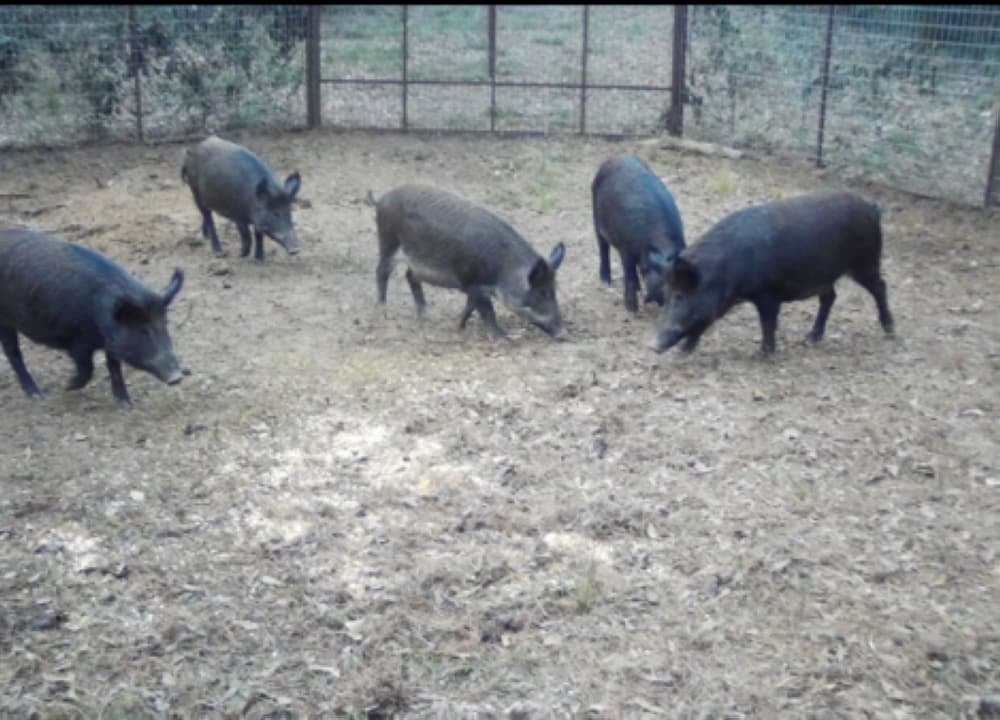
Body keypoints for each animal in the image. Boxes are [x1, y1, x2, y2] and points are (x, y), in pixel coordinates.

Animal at [0, 228, 185, 407]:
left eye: (165, 324)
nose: (177, 377)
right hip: (5, 321)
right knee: (13, 353)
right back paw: (37, 395)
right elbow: (88, 368)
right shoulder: (78, 342)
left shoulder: (111, 343)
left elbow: (114, 368)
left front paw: (126, 403)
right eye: (142, 330)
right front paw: (67, 386)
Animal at [368, 185, 566, 337]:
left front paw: (459, 326)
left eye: (555, 289)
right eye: (543, 292)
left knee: (409, 276)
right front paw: (502, 336)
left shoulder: (473, 288)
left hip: (414, 261)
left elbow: (470, 307)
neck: (504, 270)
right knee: (381, 272)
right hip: (388, 242)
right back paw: (383, 312)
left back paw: (426, 314)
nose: (562, 333)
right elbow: (487, 311)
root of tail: (381, 200)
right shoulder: (474, 283)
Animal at [592, 154, 686, 312]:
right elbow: (628, 273)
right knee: (603, 247)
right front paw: (632, 309)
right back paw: (606, 281)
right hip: (596, 218)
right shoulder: (625, 247)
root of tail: (616, 157)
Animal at [650, 191, 894, 355]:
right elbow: (705, 319)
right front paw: (685, 351)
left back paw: (889, 330)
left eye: (680, 295)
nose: (654, 346)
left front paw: (763, 353)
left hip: (865, 261)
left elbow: (767, 322)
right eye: (667, 294)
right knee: (830, 297)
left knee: (880, 286)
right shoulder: (724, 302)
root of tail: (872, 208)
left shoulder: (768, 294)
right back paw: (810, 338)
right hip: (826, 277)